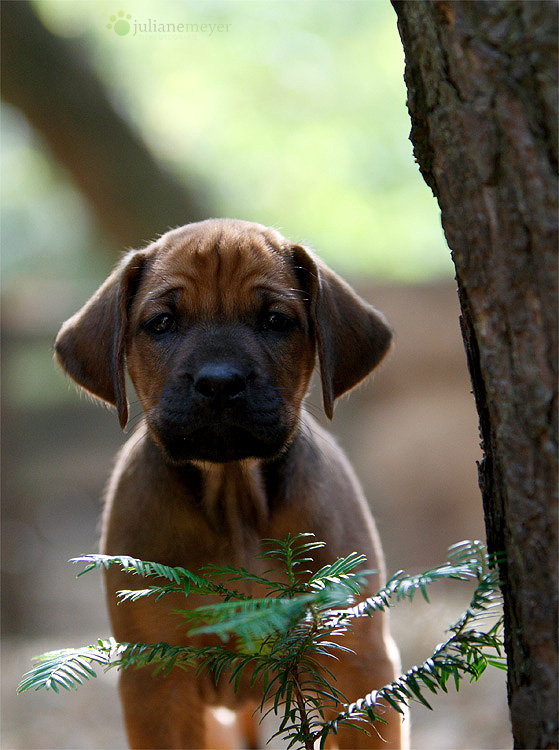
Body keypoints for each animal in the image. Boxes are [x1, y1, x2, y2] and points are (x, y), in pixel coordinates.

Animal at [57, 219, 404, 750]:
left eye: (276, 320)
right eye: (161, 323)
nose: (219, 382)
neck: (234, 501)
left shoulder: (359, 663)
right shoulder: (158, 681)